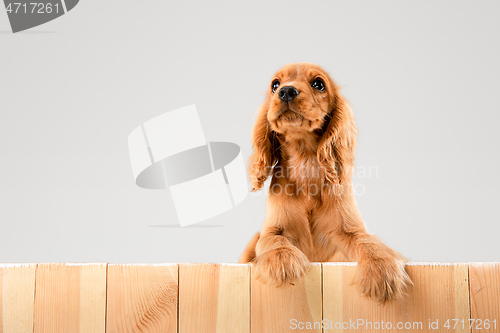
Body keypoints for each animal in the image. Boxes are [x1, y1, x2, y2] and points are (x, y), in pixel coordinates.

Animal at [240, 63, 412, 304]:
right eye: (275, 85)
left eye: (318, 84)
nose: (286, 91)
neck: (305, 158)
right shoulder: (272, 229)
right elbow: (274, 241)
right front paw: (283, 262)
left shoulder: (350, 231)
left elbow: (369, 242)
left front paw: (382, 271)